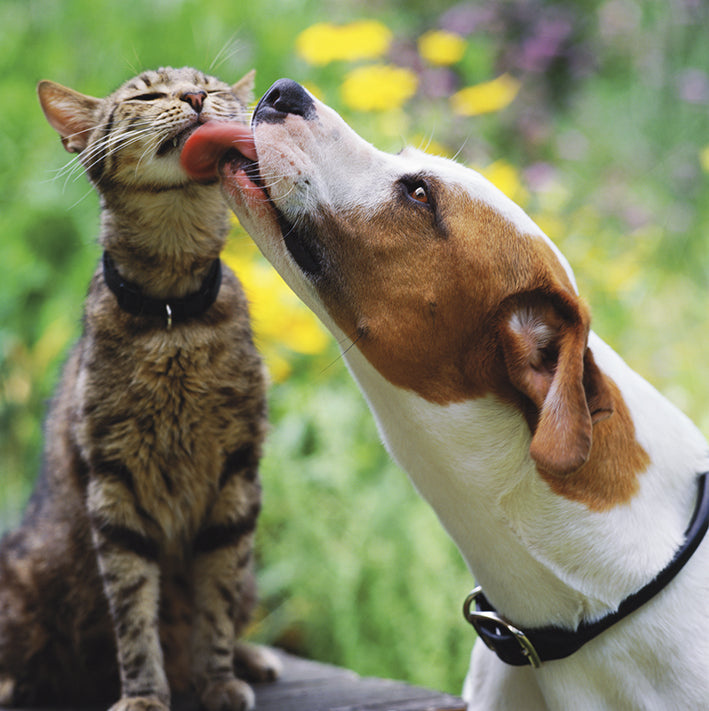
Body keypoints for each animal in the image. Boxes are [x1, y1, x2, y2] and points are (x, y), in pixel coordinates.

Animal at [0, 67, 280, 711]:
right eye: (148, 95)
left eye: (210, 87)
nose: (196, 98)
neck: (172, 317)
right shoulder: (113, 485)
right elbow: (132, 614)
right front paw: (146, 694)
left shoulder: (236, 474)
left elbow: (217, 599)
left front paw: (218, 677)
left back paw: (249, 657)